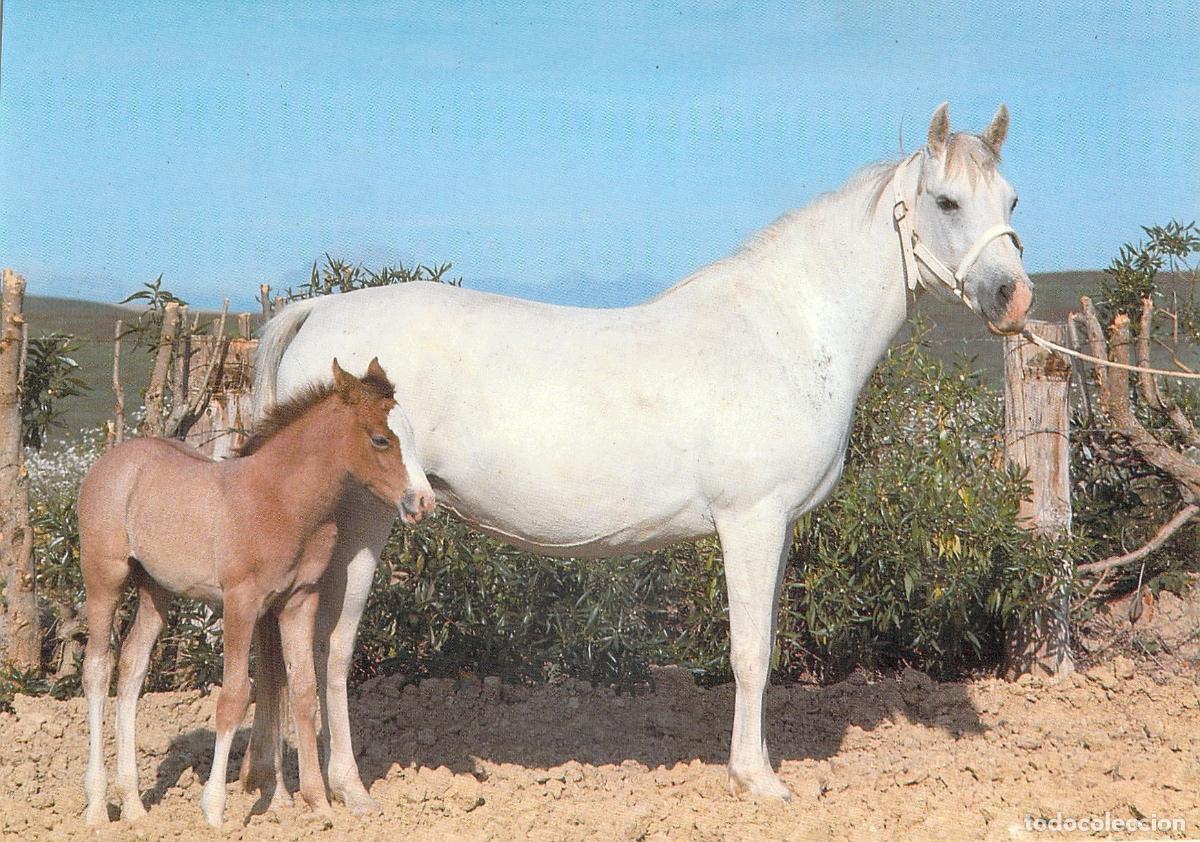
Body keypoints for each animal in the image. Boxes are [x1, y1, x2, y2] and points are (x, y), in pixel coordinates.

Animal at [78, 358, 435, 827]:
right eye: (380, 438)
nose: (423, 502)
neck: (281, 499)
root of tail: (111, 461)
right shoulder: (240, 603)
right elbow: (234, 695)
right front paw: (214, 810)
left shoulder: (299, 600)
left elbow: (303, 689)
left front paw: (319, 803)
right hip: (105, 578)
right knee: (97, 669)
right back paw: (98, 807)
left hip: (157, 590)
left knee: (132, 666)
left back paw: (135, 806)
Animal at [246, 102, 1033, 806]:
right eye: (947, 200)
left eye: (1012, 199)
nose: (1014, 297)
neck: (785, 331)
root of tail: (318, 312)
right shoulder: (750, 522)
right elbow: (750, 654)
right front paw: (758, 781)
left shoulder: (775, 528)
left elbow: (766, 645)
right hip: (362, 522)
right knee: (328, 646)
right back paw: (347, 790)